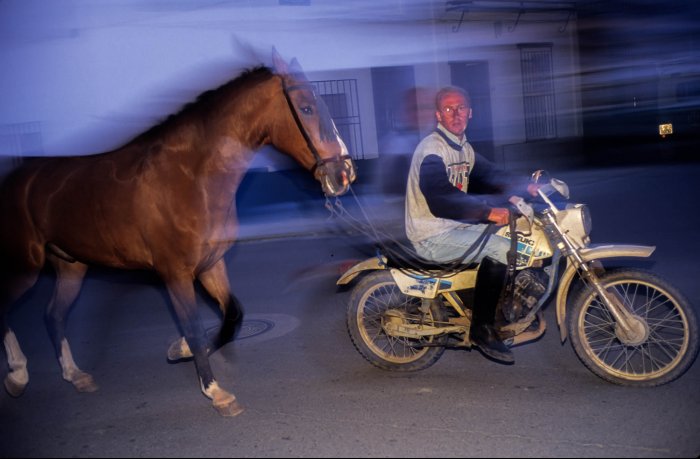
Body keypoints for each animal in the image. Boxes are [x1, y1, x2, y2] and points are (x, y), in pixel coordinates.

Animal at [0, 48, 356, 416]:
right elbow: (196, 328)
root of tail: (17, 178)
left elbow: (233, 315)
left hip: (71, 266)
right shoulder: (175, 274)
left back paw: (75, 375)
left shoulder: (211, 265)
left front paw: (179, 349)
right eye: (307, 107)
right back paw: (17, 375)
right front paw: (216, 391)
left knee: (53, 315)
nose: (344, 173)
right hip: (25, 265)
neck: (190, 177)